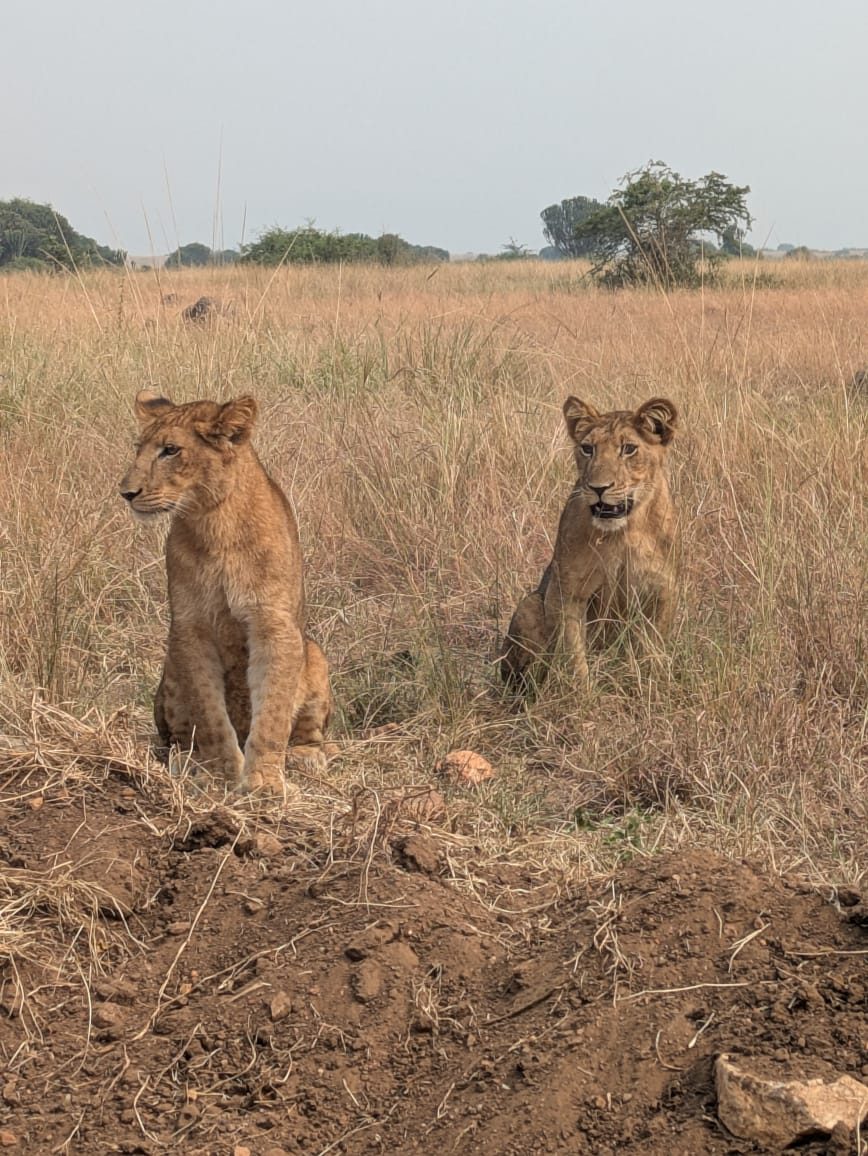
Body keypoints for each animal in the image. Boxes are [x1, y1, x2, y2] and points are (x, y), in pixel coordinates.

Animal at [120, 390, 332, 796]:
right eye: (139, 448)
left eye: (170, 450)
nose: (126, 493)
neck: (213, 523)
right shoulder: (190, 627)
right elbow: (209, 712)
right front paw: (221, 773)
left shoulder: (274, 625)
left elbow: (273, 712)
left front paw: (264, 781)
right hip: (171, 663)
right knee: (177, 735)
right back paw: (185, 760)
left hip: (313, 652)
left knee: (307, 732)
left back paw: (306, 757)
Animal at [500, 395, 678, 690]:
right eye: (587, 448)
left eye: (629, 449)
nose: (598, 488)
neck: (623, 533)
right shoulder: (567, 590)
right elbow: (573, 652)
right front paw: (582, 694)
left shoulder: (661, 588)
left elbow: (652, 644)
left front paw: (653, 683)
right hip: (530, 604)